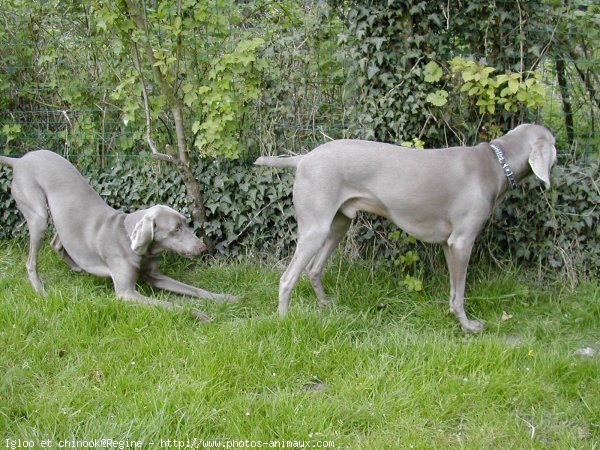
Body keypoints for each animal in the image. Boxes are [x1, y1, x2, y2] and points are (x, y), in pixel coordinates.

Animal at [0, 150, 237, 320]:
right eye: (176, 229)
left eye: (185, 223)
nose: (202, 247)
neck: (128, 238)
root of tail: (19, 159)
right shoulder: (125, 293)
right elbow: (171, 305)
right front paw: (199, 314)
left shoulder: (156, 276)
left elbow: (194, 290)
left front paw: (226, 297)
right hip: (38, 215)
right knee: (31, 261)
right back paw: (40, 290)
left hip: (60, 217)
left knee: (58, 241)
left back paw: (77, 266)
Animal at [254, 123, 556, 330]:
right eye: (553, 143)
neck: (495, 162)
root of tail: (303, 158)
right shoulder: (462, 241)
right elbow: (460, 292)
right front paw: (468, 326)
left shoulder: (449, 244)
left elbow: (453, 291)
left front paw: (454, 317)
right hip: (315, 228)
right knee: (287, 278)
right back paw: (283, 320)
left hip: (339, 223)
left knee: (314, 269)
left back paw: (326, 306)